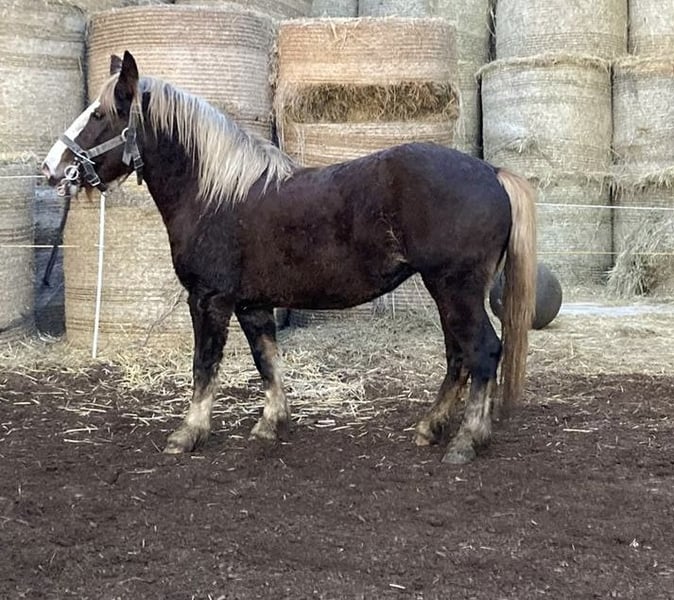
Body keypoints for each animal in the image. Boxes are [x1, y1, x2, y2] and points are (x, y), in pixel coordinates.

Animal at [42, 51, 537, 464]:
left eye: (100, 114)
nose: (52, 168)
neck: (215, 193)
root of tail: (492, 173)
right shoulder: (252, 304)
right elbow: (267, 361)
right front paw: (271, 424)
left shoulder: (208, 300)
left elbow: (205, 365)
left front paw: (189, 433)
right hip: (449, 294)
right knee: (458, 356)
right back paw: (430, 427)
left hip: (455, 290)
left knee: (483, 352)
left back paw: (466, 440)